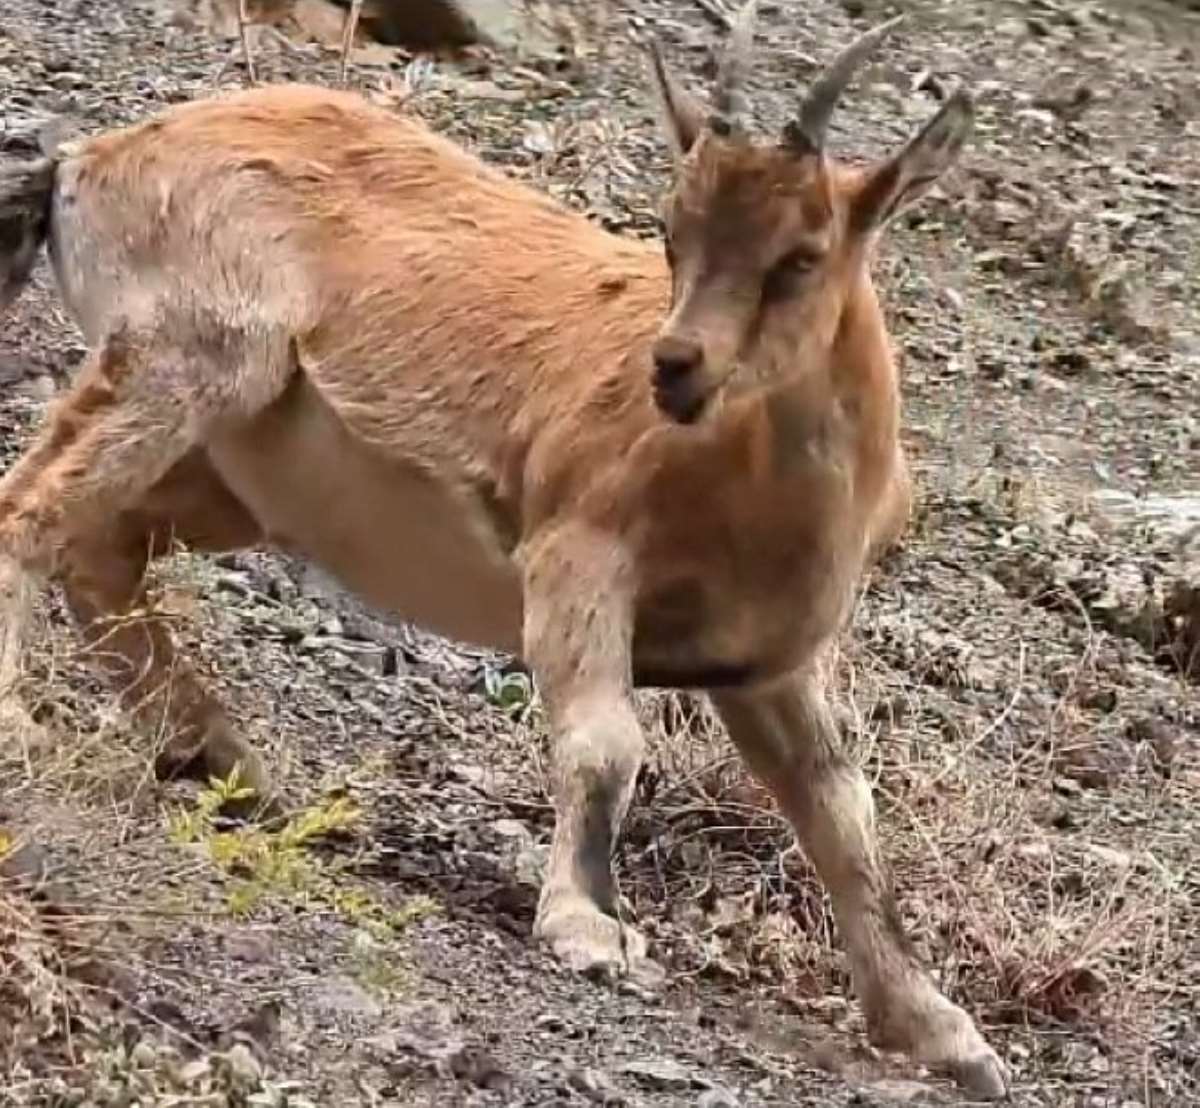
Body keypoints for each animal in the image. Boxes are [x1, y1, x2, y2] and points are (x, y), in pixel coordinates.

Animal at [0, 4, 1003, 1094]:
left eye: (802, 255)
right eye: (672, 232)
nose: (674, 369)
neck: (746, 488)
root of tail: (95, 159)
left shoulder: (767, 663)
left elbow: (842, 815)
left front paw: (942, 1030)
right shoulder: (580, 552)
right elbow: (606, 743)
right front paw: (588, 925)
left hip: (244, 473)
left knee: (102, 544)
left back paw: (223, 760)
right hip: (188, 359)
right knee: (34, 508)